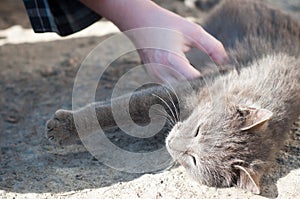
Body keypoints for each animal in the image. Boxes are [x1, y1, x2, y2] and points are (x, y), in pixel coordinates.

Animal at [46, 0, 300, 195]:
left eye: (194, 160)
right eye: (198, 130)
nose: (172, 143)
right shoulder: (186, 86)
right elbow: (122, 107)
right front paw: (65, 126)